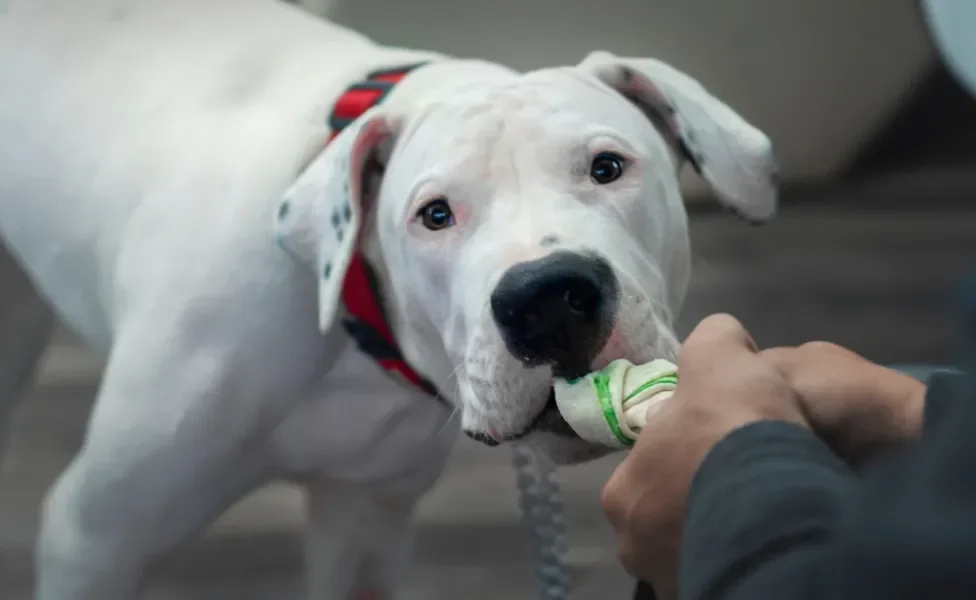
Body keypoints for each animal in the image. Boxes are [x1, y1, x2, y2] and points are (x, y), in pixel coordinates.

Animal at [0, 1, 776, 600]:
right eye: (435, 215)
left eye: (608, 168)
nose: (548, 297)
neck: (347, 314)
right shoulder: (97, 537)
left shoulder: (365, 520)